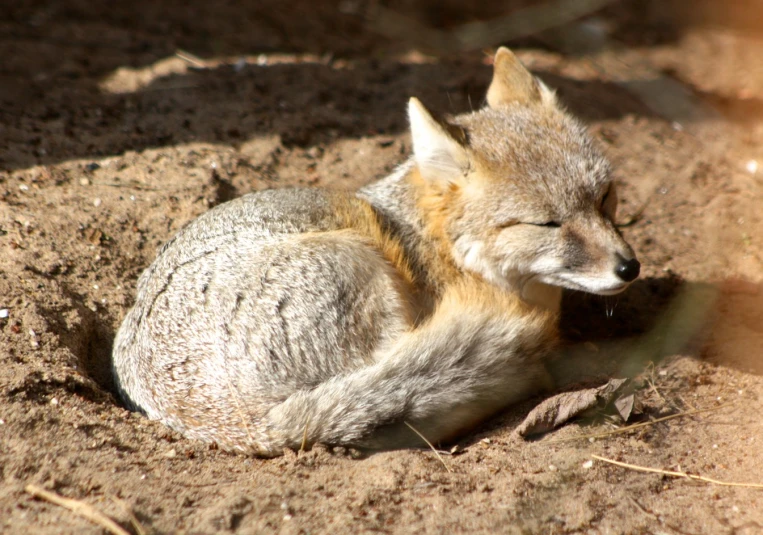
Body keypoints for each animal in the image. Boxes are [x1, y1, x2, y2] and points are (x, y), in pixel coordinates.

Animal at [112, 48, 640, 456]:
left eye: (604, 197)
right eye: (546, 224)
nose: (629, 268)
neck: (433, 245)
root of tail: (251, 427)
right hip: (361, 268)